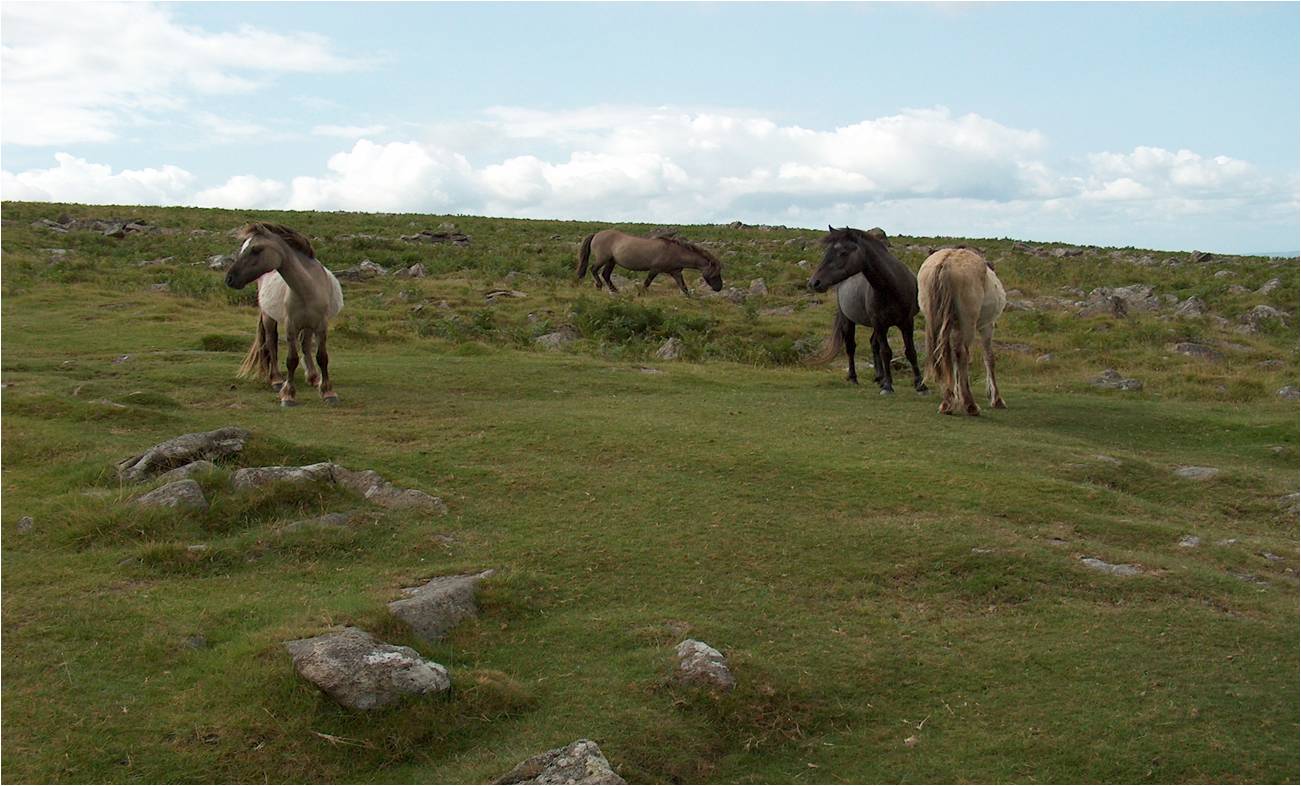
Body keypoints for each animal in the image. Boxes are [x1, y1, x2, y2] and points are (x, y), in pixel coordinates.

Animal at [225, 222, 344, 407]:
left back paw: (313, 377)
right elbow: (291, 360)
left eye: (256, 249)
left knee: (305, 345)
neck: (308, 289)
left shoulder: (321, 325)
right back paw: (276, 380)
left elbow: (322, 357)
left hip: (308, 325)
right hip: (269, 317)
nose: (230, 279)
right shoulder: (291, 327)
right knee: (271, 343)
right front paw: (288, 394)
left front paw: (328, 392)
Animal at [576, 229, 723, 296]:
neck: (674, 251)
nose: (719, 288)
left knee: (606, 275)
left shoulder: (676, 272)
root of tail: (596, 234)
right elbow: (647, 283)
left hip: (611, 261)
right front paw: (640, 293)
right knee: (594, 269)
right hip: (603, 259)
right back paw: (599, 286)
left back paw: (615, 290)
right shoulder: (654, 270)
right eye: (715, 274)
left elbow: (683, 287)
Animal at [806, 226, 927, 395]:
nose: (814, 282)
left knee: (873, 344)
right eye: (826, 252)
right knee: (851, 347)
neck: (892, 287)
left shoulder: (907, 322)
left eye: (843, 252)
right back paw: (854, 378)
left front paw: (920, 385)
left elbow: (910, 351)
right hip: (850, 321)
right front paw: (888, 386)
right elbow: (886, 352)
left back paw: (879, 377)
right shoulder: (880, 323)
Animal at [916, 247, 1007, 416]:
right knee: (962, 354)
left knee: (943, 355)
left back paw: (947, 402)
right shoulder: (987, 326)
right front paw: (996, 399)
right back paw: (970, 405)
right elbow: (989, 358)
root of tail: (945, 262)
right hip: (968, 323)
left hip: (936, 322)